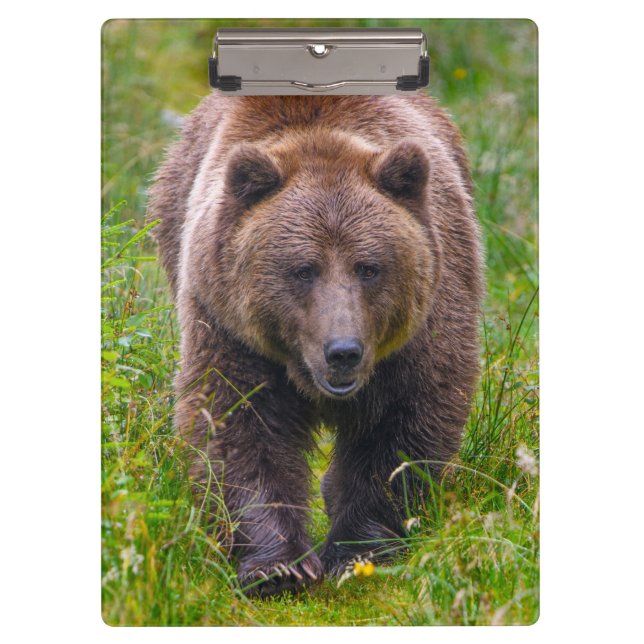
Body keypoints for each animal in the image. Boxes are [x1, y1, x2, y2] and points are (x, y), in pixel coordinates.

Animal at [148, 93, 483, 597]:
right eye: (303, 269)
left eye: (369, 267)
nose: (343, 350)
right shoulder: (229, 325)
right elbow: (237, 421)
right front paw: (278, 567)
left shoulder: (425, 322)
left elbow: (403, 423)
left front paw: (359, 551)